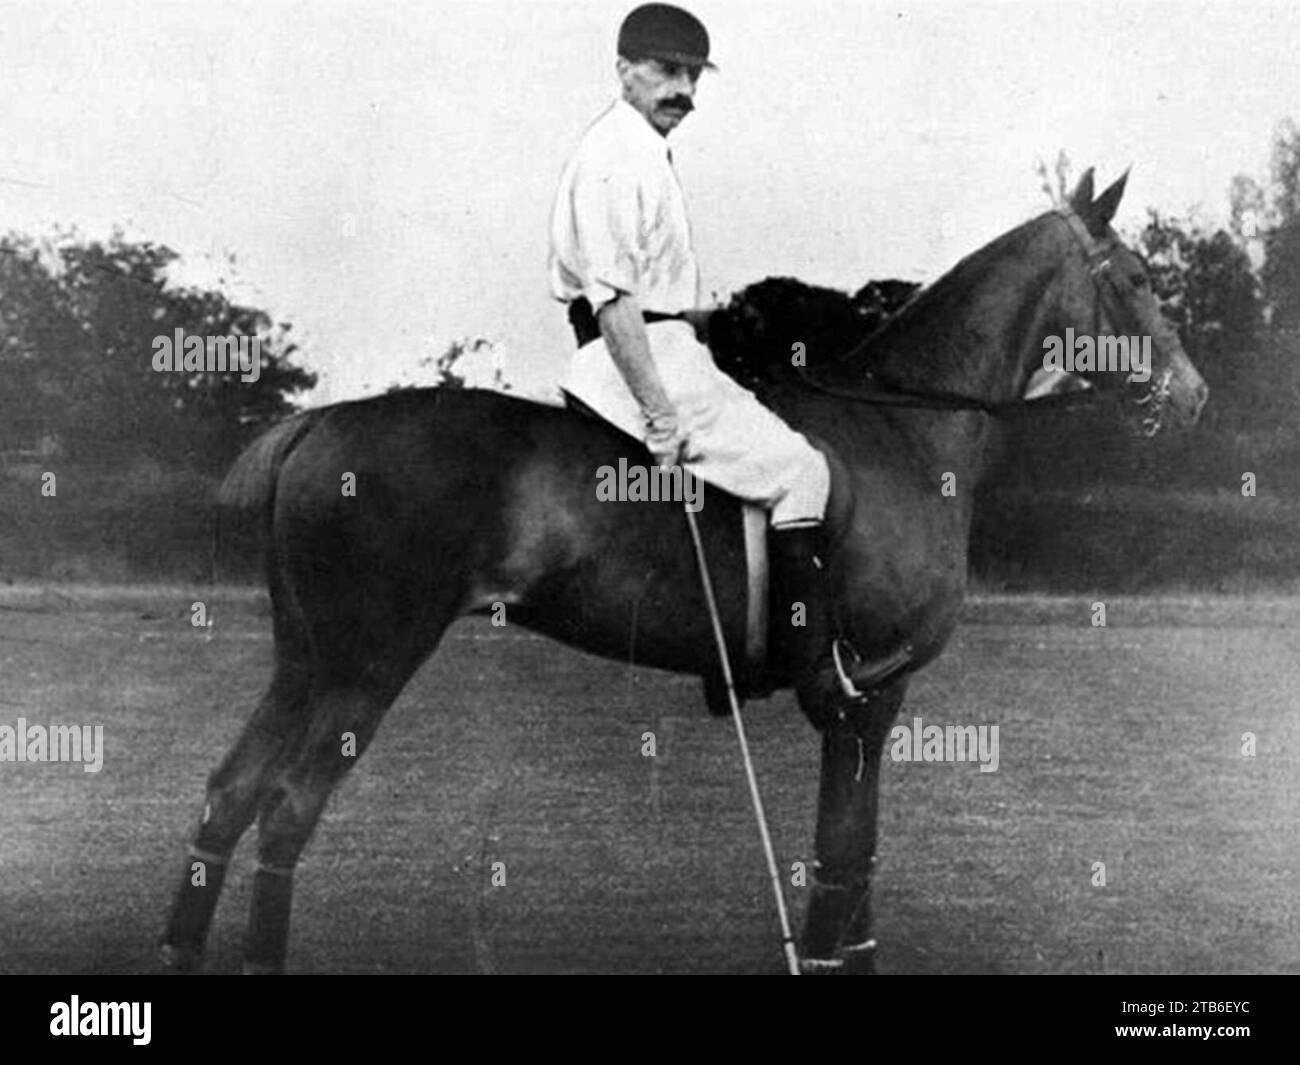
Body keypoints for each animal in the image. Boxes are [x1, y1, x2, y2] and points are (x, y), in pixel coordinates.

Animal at [159, 169, 1206, 972]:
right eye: (1136, 277)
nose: (1195, 395)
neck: (909, 429)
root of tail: (315, 425)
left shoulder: (870, 702)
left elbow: (854, 857)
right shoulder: (867, 694)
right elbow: (843, 857)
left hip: (305, 657)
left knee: (229, 792)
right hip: (369, 659)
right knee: (287, 810)